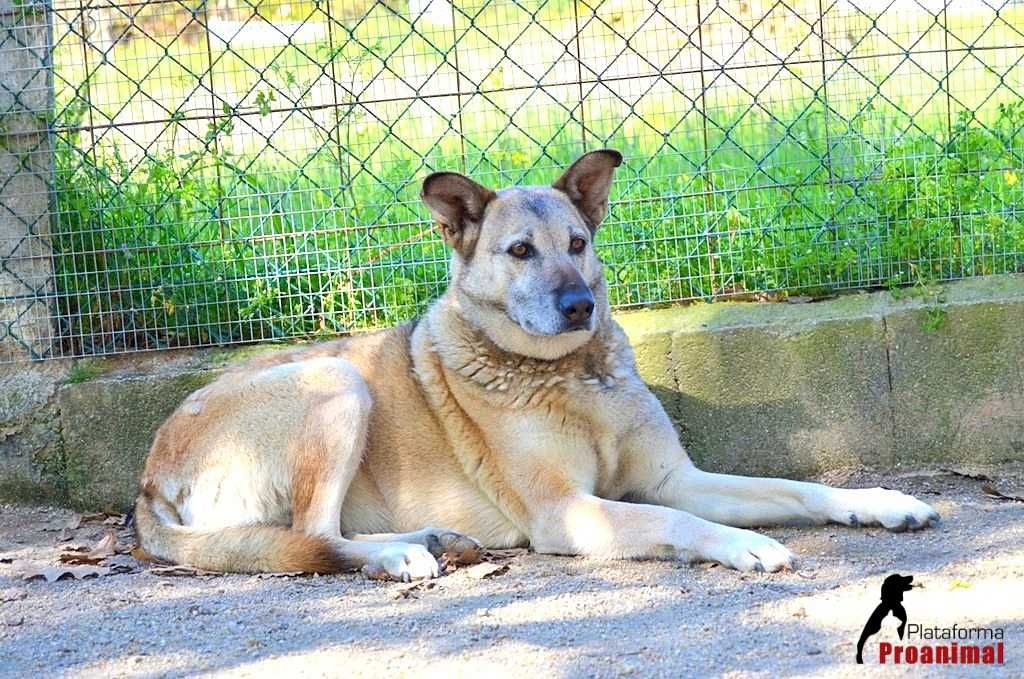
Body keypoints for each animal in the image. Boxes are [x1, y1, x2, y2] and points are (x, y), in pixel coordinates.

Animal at [136, 151, 942, 581]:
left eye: (579, 242)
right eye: (520, 250)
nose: (580, 305)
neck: (575, 376)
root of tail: (148, 479)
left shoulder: (675, 477)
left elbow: (794, 486)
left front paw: (879, 501)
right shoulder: (570, 512)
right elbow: (678, 520)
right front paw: (747, 544)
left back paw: (433, 540)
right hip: (337, 382)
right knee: (312, 532)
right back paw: (400, 556)